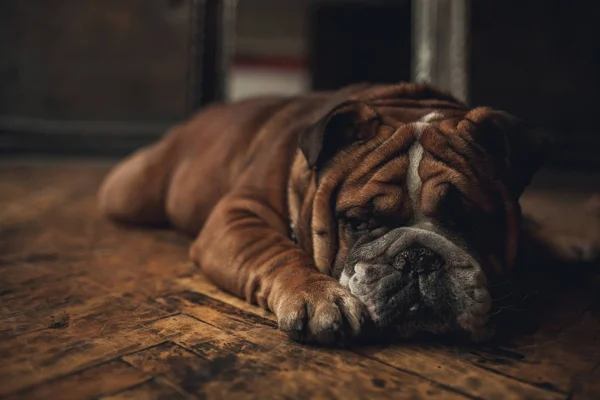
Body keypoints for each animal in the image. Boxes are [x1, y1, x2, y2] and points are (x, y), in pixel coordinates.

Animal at [98, 82, 596, 344]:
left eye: (467, 220)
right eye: (359, 222)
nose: (418, 258)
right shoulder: (239, 215)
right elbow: (278, 252)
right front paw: (319, 296)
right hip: (132, 192)